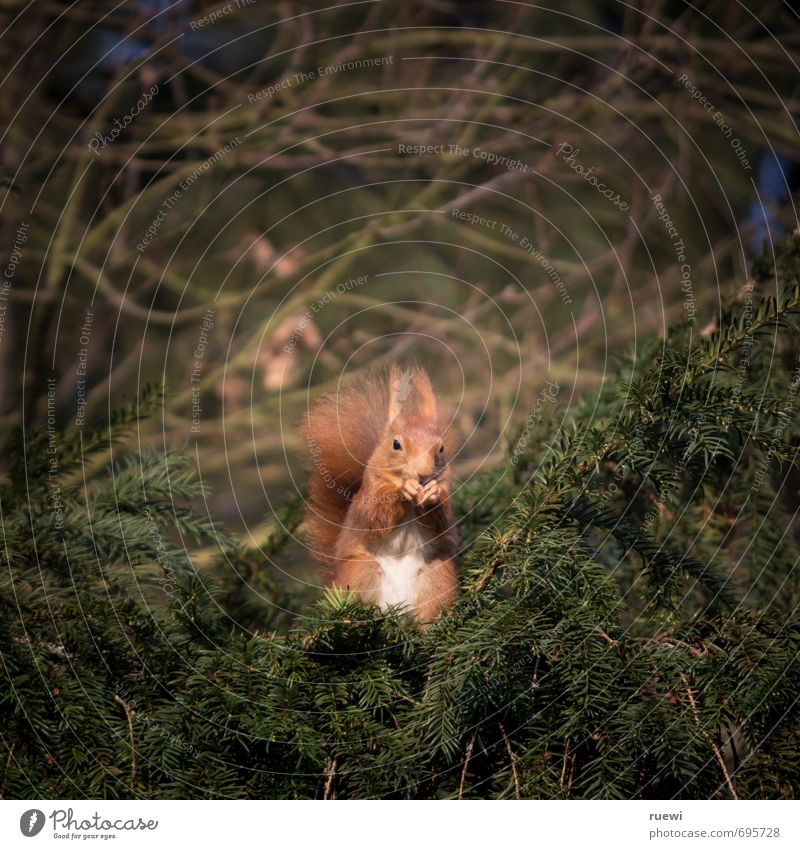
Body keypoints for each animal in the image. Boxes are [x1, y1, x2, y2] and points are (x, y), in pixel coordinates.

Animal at [304, 364, 460, 624]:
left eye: (441, 448)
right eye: (396, 445)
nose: (423, 475)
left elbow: (442, 523)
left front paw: (432, 495)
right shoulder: (368, 498)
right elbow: (376, 517)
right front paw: (403, 491)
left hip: (436, 575)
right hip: (360, 572)